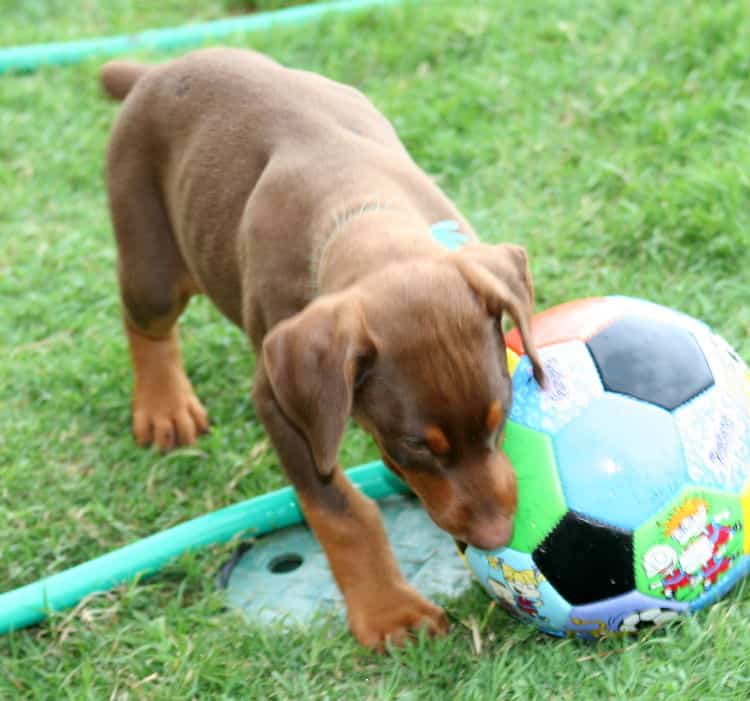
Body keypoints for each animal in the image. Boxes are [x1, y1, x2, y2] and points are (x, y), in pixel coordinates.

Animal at [101, 47, 548, 652]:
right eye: (417, 445)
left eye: (500, 421)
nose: (497, 536)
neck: (360, 211)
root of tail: (159, 69)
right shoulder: (282, 402)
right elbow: (341, 511)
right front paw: (391, 614)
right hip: (151, 259)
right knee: (144, 322)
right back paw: (163, 408)